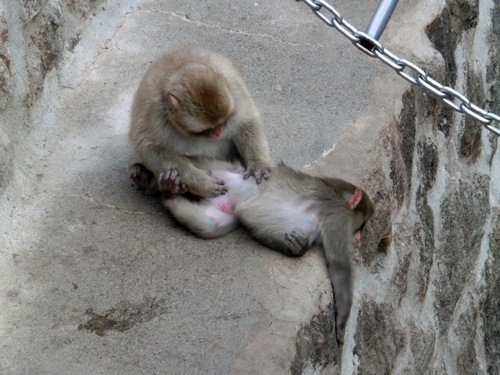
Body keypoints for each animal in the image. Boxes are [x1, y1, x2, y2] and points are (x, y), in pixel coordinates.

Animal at [131, 161, 374, 344]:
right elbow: (339, 264)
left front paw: (297, 247)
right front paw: (342, 322)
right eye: (362, 224)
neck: (338, 195)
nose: (360, 236)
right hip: (214, 173)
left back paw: (168, 194)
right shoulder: (338, 214)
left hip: (223, 201)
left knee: (209, 225)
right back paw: (153, 181)